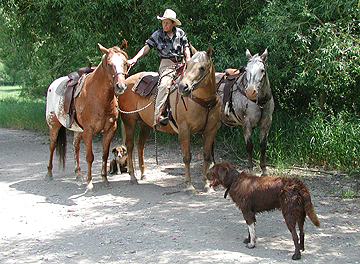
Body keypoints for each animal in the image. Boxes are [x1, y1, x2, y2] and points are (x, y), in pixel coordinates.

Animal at [45, 40, 129, 190]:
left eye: (125, 63)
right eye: (109, 64)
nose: (120, 86)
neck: (98, 96)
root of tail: (52, 85)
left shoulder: (109, 130)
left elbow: (104, 155)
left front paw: (104, 179)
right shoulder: (88, 131)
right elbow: (90, 156)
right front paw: (89, 183)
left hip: (78, 130)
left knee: (75, 147)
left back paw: (78, 174)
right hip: (53, 125)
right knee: (52, 146)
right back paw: (49, 173)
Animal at [119, 46, 219, 192]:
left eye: (202, 67)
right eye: (188, 65)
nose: (183, 87)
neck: (203, 102)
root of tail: (126, 82)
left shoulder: (211, 130)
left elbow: (207, 156)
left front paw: (207, 184)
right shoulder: (184, 130)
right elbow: (187, 157)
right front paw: (189, 185)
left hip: (145, 125)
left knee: (140, 144)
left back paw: (143, 174)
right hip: (129, 122)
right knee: (130, 146)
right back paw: (132, 177)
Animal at [215, 49, 274, 177]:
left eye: (262, 70)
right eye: (246, 70)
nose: (250, 91)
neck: (260, 101)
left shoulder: (266, 123)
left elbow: (263, 146)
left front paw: (264, 170)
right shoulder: (247, 123)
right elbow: (249, 146)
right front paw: (250, 169)